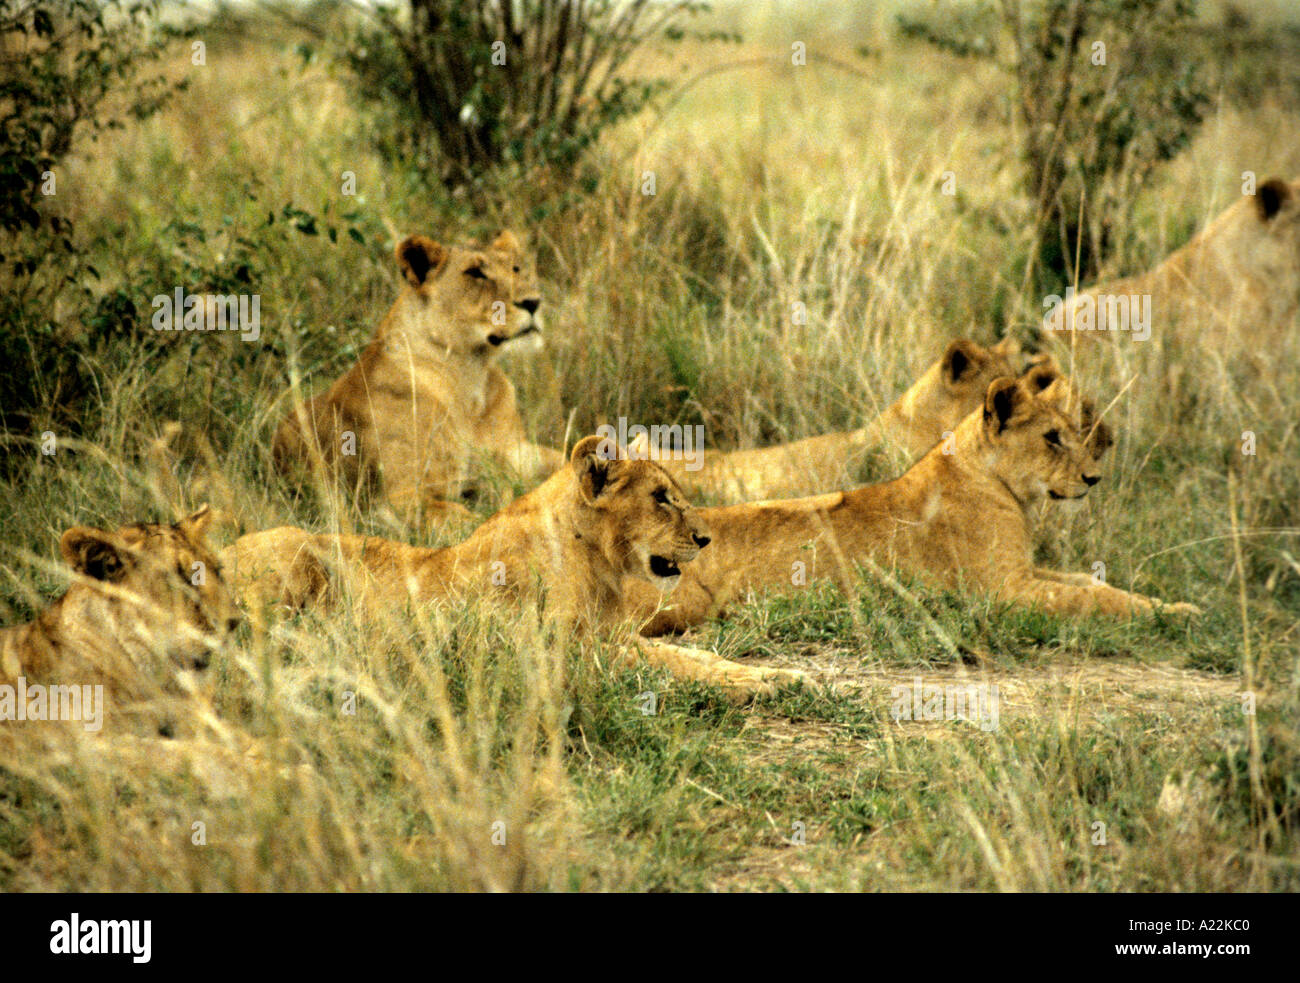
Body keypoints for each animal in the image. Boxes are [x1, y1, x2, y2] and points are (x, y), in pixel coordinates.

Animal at [225, 436, 807, 696]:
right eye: (661, 498)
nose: (705, 539)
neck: (599, 563)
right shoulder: (560, 652)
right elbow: (675, 665)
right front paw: (757, 686)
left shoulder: (610, 635)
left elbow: (698, 656)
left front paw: (781, 673)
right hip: (293, 554)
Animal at [271, 230, 565, 527]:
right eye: (475, 273)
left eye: (515, 268)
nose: (533, 302)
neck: (472, 375)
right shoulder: (397, 500)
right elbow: (474, 517)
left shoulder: (520, 454)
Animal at [627, 366, 1197, 636]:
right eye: (1053, 438)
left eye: (1074, 433)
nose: (1093, 478)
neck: (998, 483)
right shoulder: (1004, 592)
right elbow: (1092, 599)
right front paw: (1171, 614)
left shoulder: (1025, 571)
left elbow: (1091, 582)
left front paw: (1177, 606)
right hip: (682, 601)